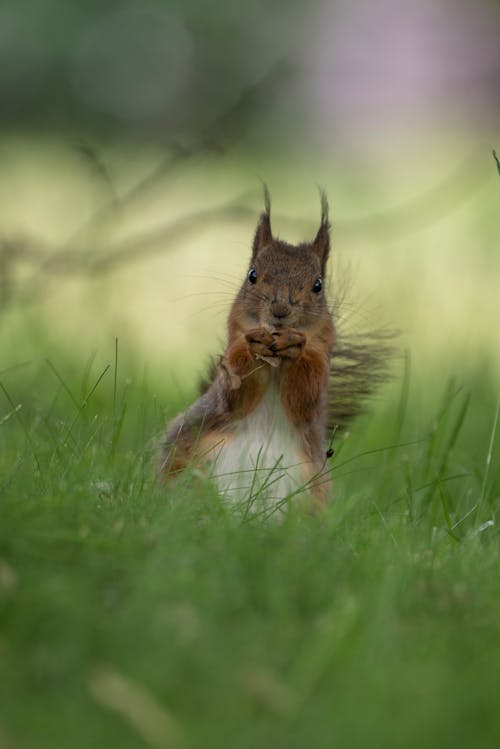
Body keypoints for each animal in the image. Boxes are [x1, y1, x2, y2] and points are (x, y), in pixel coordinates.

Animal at [162, 187, 392, 516]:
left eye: (318, 285)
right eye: (252, 275)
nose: (280, 310)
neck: (275, 361)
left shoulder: (318, 375)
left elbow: (304, 398)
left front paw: (296, 346)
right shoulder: (228, 373)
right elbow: (233, 395)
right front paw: (252, 345)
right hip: (186, 454)